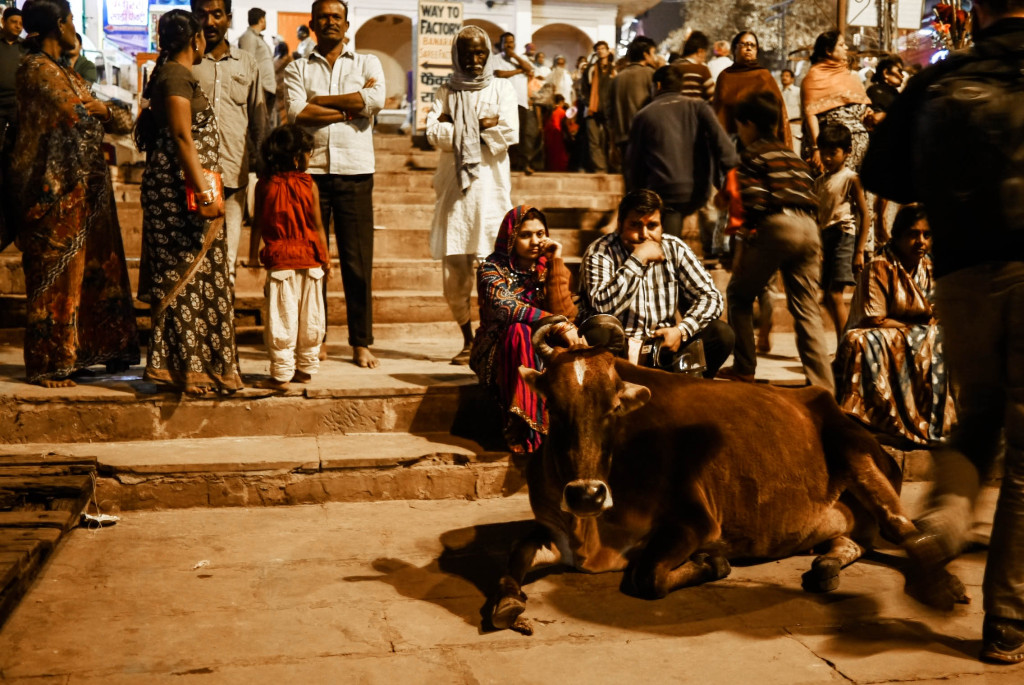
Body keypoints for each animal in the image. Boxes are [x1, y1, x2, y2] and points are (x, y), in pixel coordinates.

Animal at [491, 321, 970, 630]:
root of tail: (829, 401)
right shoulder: (552, 526)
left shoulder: (696, 521)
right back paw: (824, 568)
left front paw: (713, 562)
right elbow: (515, 552)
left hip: (859, 459)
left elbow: (649, 577)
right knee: (850, 541)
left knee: (903, 528)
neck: (591, 531)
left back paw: (944, 584)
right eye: (553, 407)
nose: (586, 494)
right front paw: (508, 603)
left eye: (613, 407)